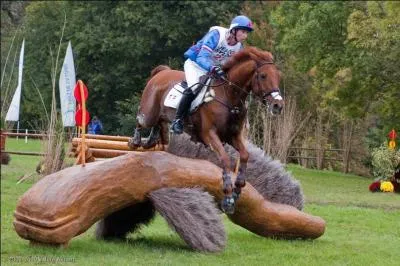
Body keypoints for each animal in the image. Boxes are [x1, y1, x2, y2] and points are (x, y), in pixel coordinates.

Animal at [130, 46, 282, 214]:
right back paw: (135, 141)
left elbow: (244, 155)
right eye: (263, 76)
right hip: (149, 113)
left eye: (278, 76)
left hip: (160, 116)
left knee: (158, 124)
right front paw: (228, 197)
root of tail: (162, 72)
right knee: (141, 120)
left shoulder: (233, 136)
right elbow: (225, 159)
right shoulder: (210, 135)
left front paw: (238, 189)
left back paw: (149, 141)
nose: (278, 105)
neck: (228, 95)